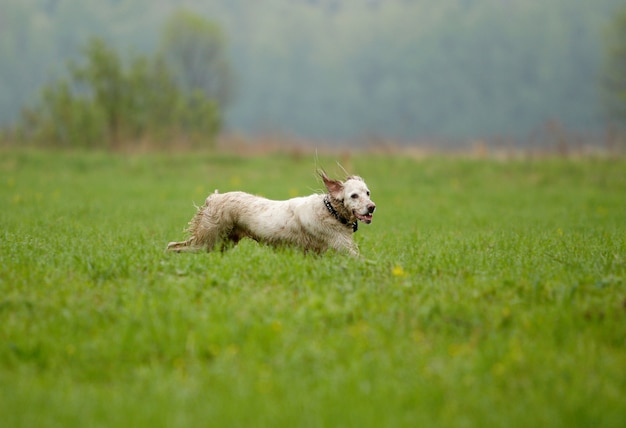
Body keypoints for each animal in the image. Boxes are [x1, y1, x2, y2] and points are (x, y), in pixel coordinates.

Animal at [167, 172, 376, 256]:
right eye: (354, 195)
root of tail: (214, 197)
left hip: (220, 243)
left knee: (173, 245)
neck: (330, 211)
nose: (372, 207)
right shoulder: (345, 249)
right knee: (175, 247)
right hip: (208, 242)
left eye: (367, 193)